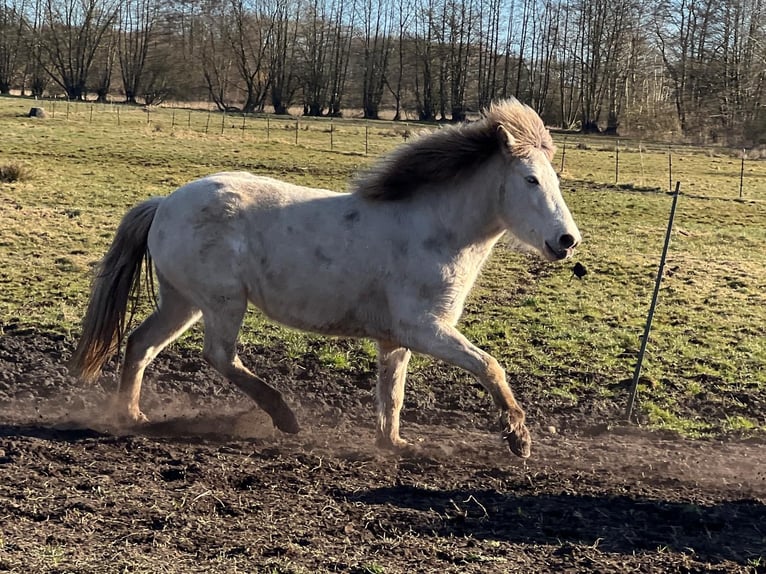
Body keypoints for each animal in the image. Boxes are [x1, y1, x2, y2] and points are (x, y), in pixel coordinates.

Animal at [69, 98, 581, 459]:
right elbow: (490, 366)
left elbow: (391, 395)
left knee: (141, 344)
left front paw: (394, 445)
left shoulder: (396, 339)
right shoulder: (426, 329)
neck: (434, 229)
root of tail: (164, 204)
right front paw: (519, 438)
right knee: (218, 355)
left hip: (182, 302)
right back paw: (284, 417)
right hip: (220, 302)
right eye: (531, 179)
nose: (567, 240)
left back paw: (133, 415)